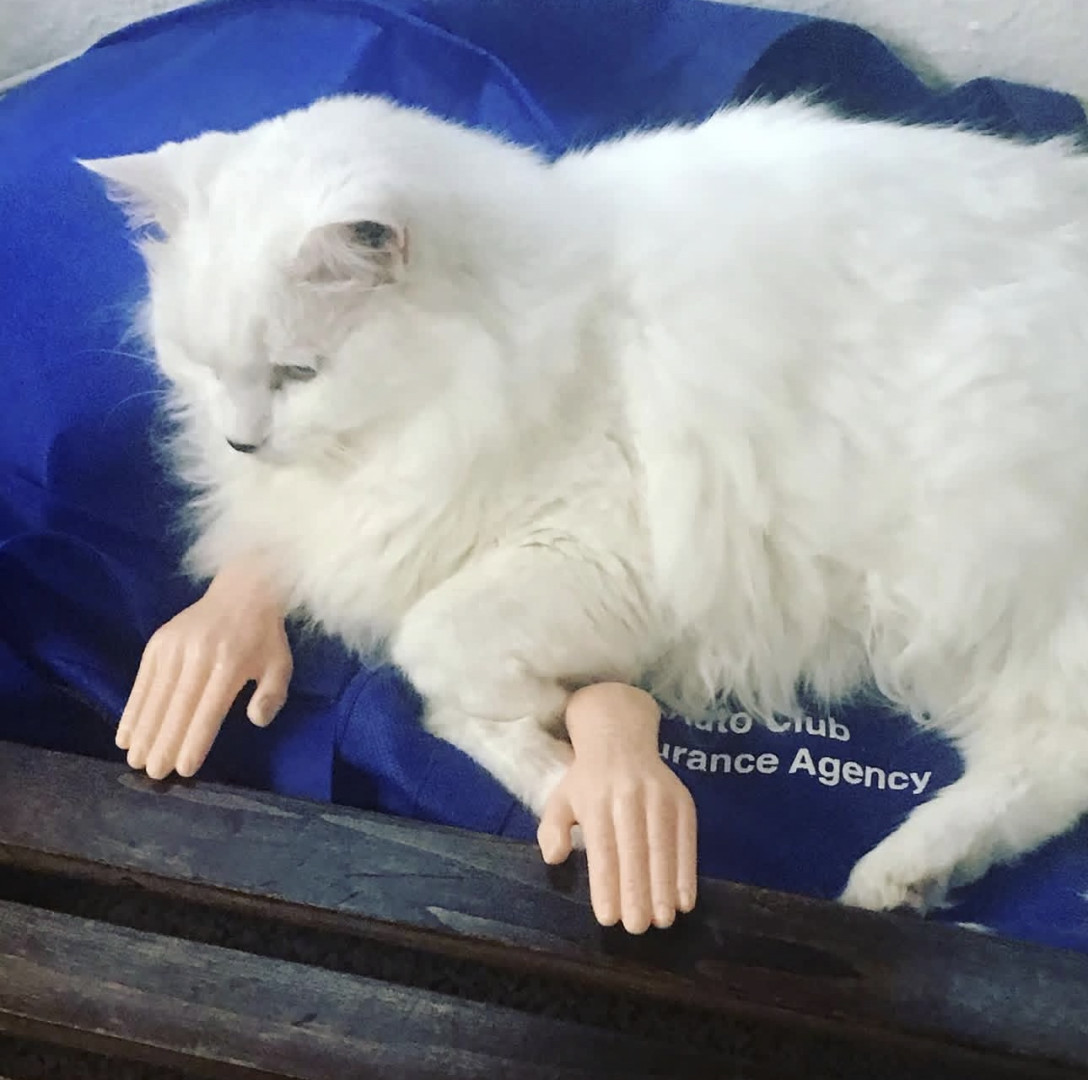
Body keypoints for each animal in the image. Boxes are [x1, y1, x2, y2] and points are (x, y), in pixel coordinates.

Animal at [82, 92, 1088, 913]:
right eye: (199, 364)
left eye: (297, 374)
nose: (241, 441)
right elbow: (440, 695)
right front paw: (554, 761)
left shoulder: (598, 552)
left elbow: (430, 642)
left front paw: (553, 726)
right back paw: (909, 879)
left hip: (972, 574)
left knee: (1057, 756)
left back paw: (891, 876)